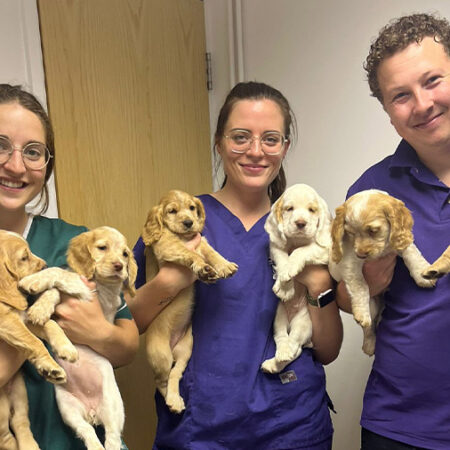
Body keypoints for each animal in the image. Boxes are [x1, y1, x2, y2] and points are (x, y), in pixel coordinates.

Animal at [143, 188, 239, 414]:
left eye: (192, 208)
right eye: (172, 211)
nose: (189, 222)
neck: (182, 236)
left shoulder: (201, 241)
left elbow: (212, 252)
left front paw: (223, 265)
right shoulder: (167, 246)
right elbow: (188, 252)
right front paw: (202, 267)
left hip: (185, 350)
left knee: (175, 374)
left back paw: (176, 399)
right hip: (161, 355)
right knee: (161, 381)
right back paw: (171, 401)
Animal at [262, 185, 332, 374]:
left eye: (312, 210)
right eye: (289, 209)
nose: (300, 223)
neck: (297, 240)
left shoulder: (325, 250)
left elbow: (303, 250)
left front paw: (291, 268)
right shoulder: (275, 246)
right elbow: (282, 258)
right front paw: (284, 285)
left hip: (304, 323)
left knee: (295, 347)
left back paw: (277, 361)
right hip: (278, 316)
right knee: (281, 338)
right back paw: (276, 358)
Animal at [326, 190, 436, 356]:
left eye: (373, 231)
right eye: (350, 233)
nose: (361, 254)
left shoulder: (397, 241)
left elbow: (411, 251)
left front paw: (422, 273)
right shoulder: (350, 263)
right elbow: (361, 286)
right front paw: (362, 314)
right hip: (373, 305)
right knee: (369, 328)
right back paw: (369, 345)